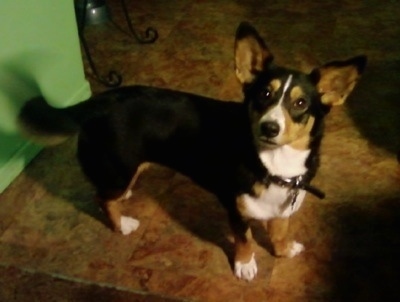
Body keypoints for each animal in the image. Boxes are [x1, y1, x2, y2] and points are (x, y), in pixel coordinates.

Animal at [20, 22, 368, 282]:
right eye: (264, 95)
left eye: (300, 103)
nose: (269, 127)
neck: (273, 165)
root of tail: (96, 102)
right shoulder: (236, 211)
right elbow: (245, 240)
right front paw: (245, 266)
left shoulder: (282, 210)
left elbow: (279, 233)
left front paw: (284, 251)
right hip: (118, 169)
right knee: (102, 198)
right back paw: (123, 225)